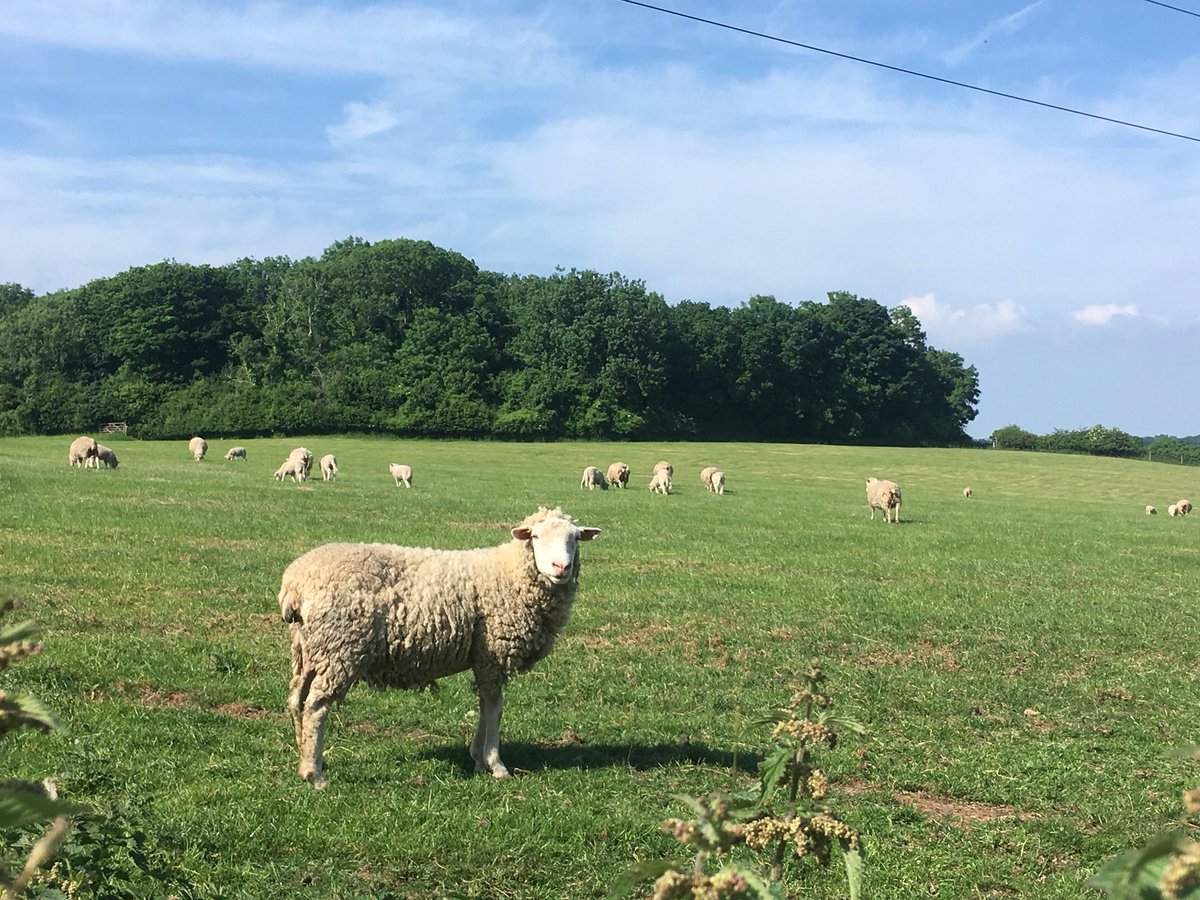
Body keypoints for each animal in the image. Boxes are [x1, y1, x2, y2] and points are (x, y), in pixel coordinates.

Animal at [279, 506, 601, 789]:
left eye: (575, 538)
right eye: (534, 536)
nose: (561, 567)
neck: (509, 574)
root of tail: (295, 584)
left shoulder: (483, 658)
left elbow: (485, 705)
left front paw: (478, 758)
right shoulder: (493, 654)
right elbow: (495, 708)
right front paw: (496, 764)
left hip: (308, 650)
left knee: (297, 698)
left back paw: (304, 757)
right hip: (340, 649)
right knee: (316, 706)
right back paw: (316, 775)